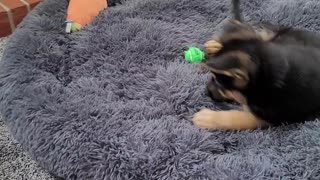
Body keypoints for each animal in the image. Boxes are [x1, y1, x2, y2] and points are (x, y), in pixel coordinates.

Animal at [192, 0, 320, 129]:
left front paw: (208, 118)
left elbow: (239, 118)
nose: (206, 91)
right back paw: (214, 46)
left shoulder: (272, 116)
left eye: (218, 82)